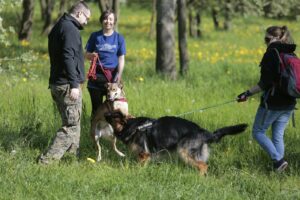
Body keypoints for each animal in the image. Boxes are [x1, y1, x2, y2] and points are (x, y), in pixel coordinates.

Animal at [104, 111, 247, 174]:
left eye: (112, 115)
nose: (104, 113)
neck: (132, 127)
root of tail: (204, 132)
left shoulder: (144, 155)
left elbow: (140, 167)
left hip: (183, 151)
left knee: (203, 166)